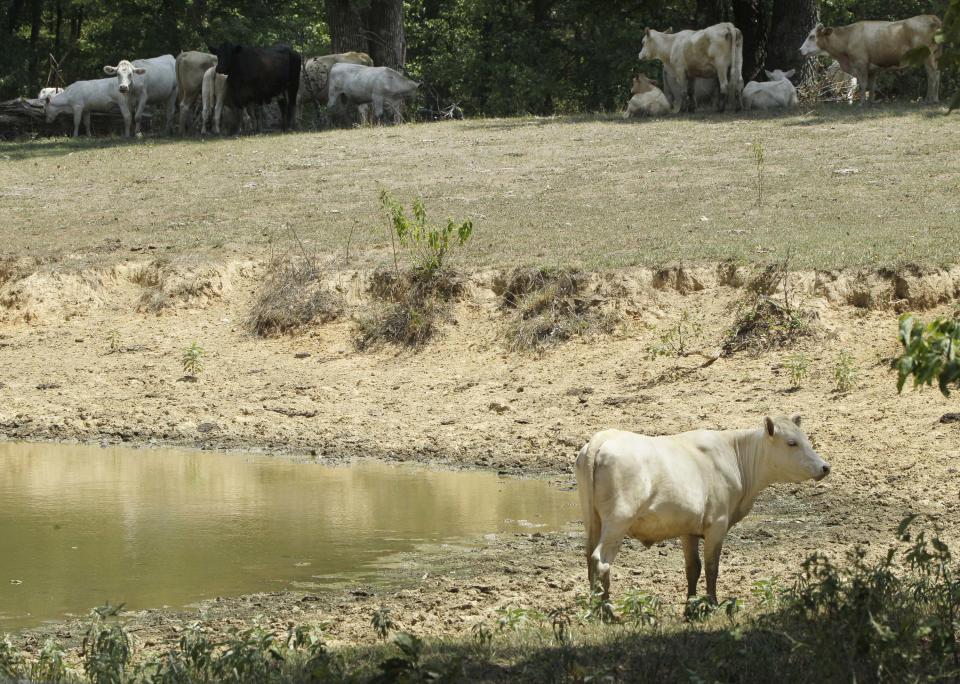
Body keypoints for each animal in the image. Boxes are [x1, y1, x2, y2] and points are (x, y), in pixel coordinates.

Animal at [572, 414, 828, 600]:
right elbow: (712, 567)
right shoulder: (717, 524)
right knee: (600, 561)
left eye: (806, 439)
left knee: (590, 559)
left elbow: (692, 568)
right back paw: (606, 609)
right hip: (618, 521)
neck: (734, 455)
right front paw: (711, 603)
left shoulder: (688, 529)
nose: (825, 467)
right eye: (792, 442)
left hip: (592, 520)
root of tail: (603, 438)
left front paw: (691, 606)